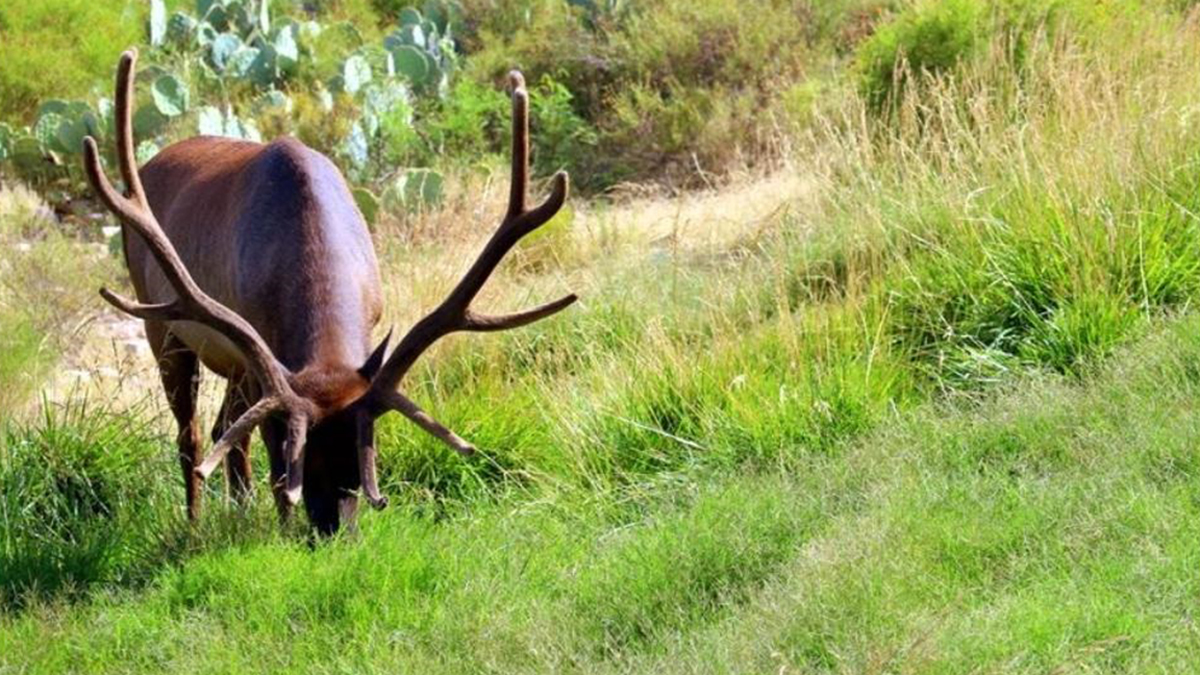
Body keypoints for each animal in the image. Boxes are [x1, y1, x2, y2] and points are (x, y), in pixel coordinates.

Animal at [82, 49, 577, 534]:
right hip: (162, 325)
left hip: (232, 361)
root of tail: (154, 159)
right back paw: (196, 522)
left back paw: (238, 511)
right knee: (193, 435)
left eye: (360, 467)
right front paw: (282, 529)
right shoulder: (263, 362)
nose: (334, 534)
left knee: (228, 428)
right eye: (305, 466)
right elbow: (267, 459)